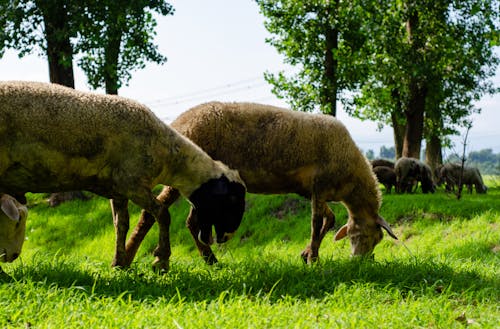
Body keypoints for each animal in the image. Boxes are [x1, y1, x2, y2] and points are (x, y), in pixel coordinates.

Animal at [0, 80, 246, 270]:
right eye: (232, 199)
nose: (226, 237)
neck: (169, 156)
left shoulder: (118, 190)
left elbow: (121, 224)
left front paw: (119, 264)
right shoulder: (132, 183)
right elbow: (162, 213)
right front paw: (161, 261)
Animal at [123, 100, 396, 264]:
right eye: (373, 237)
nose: (361, 261)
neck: (352, 182)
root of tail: (179, 122)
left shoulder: (312, 191)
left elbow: (328, 220)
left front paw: (309, 253)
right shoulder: (319, 185)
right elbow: (316, 222)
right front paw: (312, 257)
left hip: (201, 185)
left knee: (191, 222)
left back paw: (209, 259)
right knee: (153, 213)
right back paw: (129, 255)